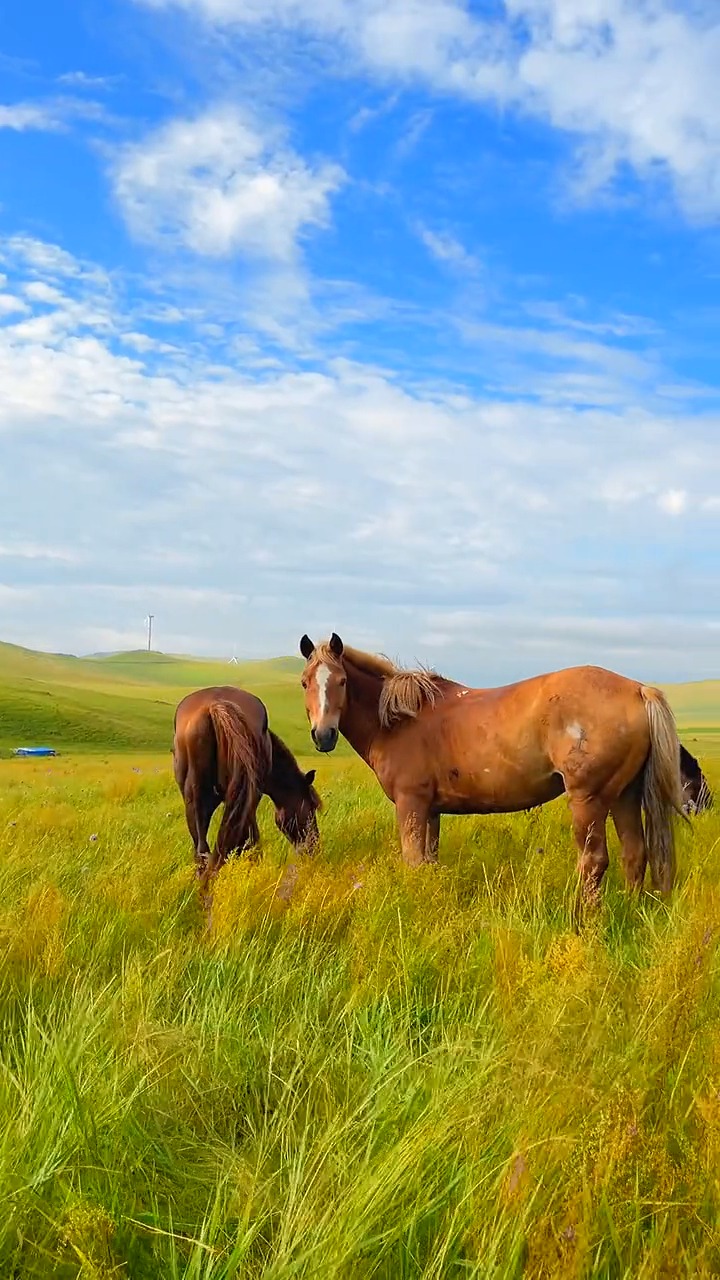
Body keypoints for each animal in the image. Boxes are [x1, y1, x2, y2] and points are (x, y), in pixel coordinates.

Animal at [297, 632, 681, 901]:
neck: (399, 720)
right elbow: (429, 863)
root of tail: (638, 690)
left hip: (589, 800)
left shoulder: (411, 805)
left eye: (341, 681)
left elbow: (414, 861)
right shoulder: (431, 810)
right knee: (635, 854)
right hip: (625, 794)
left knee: (594, 862)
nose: (323, 736)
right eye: (304, 682)